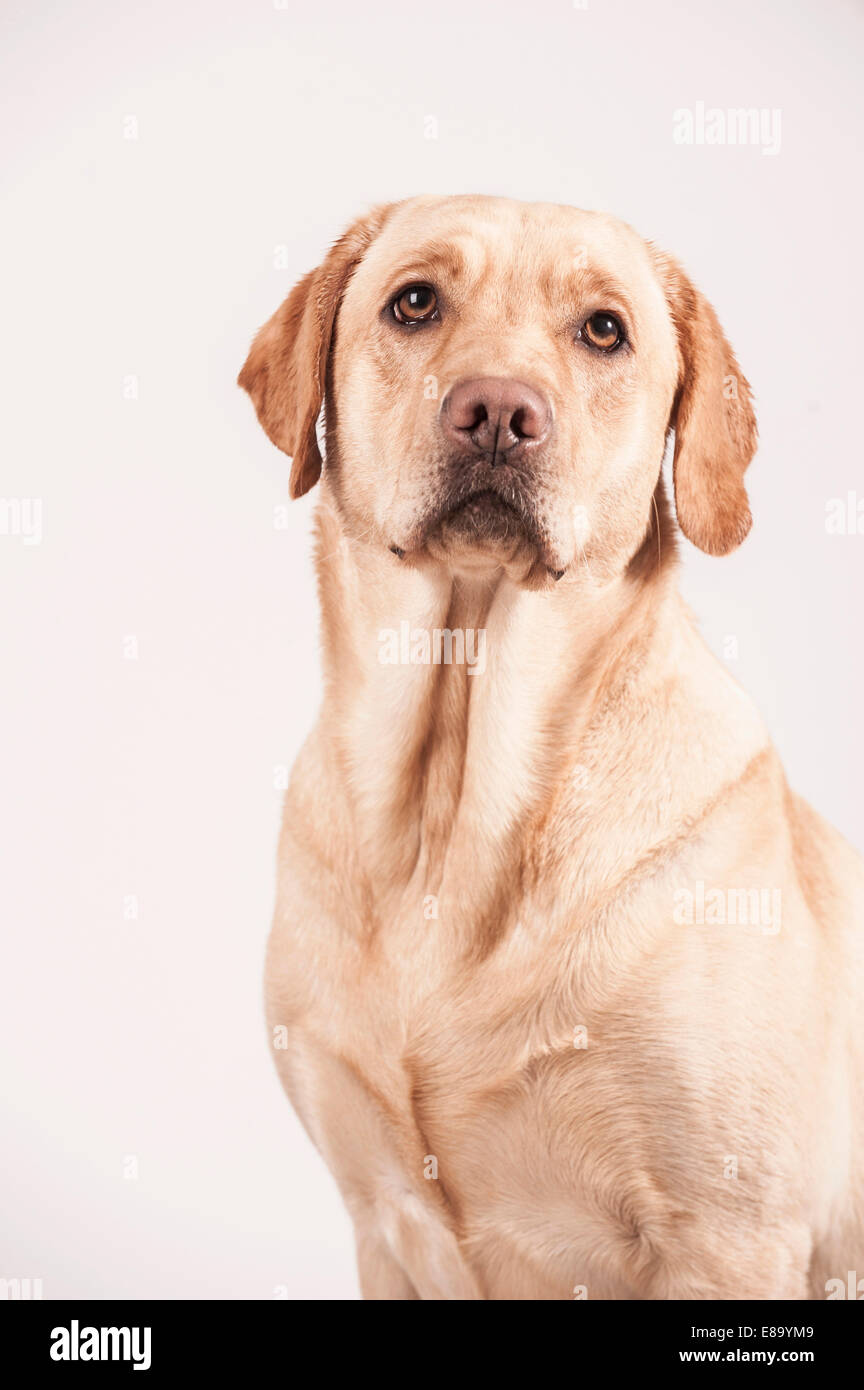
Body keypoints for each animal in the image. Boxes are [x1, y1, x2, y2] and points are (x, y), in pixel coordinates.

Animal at [238, 195, 864, 1301]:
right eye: (414, 302)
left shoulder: (730, 1237)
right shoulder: (382, 1221)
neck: (451, 806)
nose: (496, 410)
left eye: (604, 329)